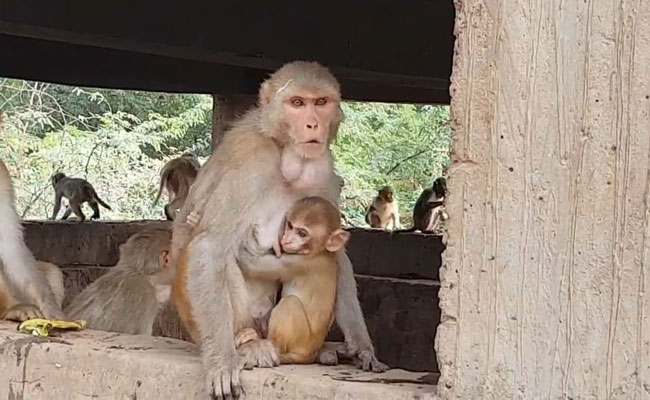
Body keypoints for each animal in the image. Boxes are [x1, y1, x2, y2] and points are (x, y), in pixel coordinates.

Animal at [237, 196, 350, 365]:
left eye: (302, 233)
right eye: (290, 226)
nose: (287, 239)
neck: (321, 251)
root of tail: (310, 355)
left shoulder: (300, 263)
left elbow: (251, 265)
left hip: (301, 341)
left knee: (290, 303)